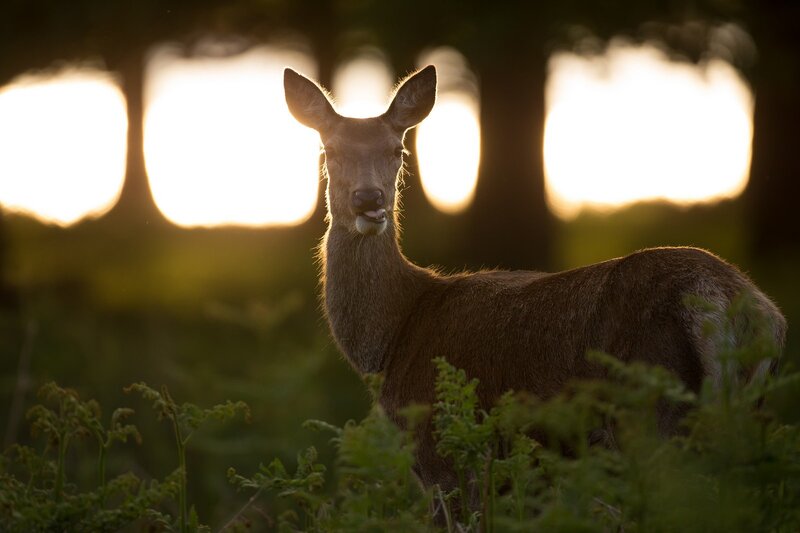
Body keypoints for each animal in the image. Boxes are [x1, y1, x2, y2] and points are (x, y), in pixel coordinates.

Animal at [283, 65, 786, 495]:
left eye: (397, 150)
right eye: (329, 150)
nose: (369, 200)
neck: (394, 336)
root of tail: (737, 308)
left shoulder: (444, 455)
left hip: (652, 411)